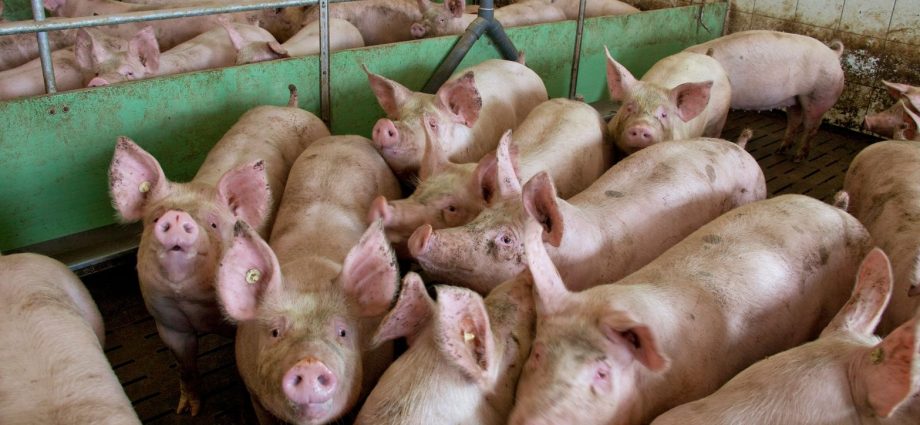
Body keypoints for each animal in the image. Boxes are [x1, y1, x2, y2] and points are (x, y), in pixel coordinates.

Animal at [108, 86, 329, 415]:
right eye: (155, 219)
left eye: (213, 224)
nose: (177, 217)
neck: (187, 298)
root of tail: (291, 107)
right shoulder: (168, 322)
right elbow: (184, 365)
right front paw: (187, 410)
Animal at [215, 135, 402, 424]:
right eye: (275, 332)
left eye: (343, 331)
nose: (310, 363)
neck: (309, 270)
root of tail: (344, 136)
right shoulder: (253, 391)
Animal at [685, 30, 845, 162]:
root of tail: (834, 54)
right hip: (796, 98)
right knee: (795, 119)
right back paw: (781, 150)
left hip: (820, 95)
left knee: (811, 127)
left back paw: (798, 157)